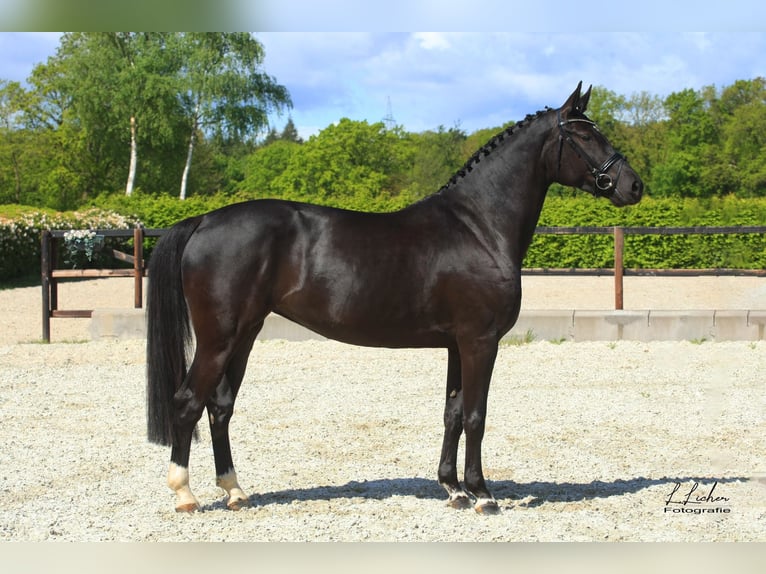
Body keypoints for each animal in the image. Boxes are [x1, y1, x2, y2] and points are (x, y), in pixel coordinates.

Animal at [146, 82, 643, 515]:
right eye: (584, 134)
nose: (634, 185)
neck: (478, 226)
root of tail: (203, 220)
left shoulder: (457, 344)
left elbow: (453, 413)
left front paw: (452, 489)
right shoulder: (481, 341)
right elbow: (476, 415)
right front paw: (482, 494)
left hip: (245, 334)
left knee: (220, 406)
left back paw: (235, 491)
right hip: (218, 338)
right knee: (188, 402)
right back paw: (185, 495)